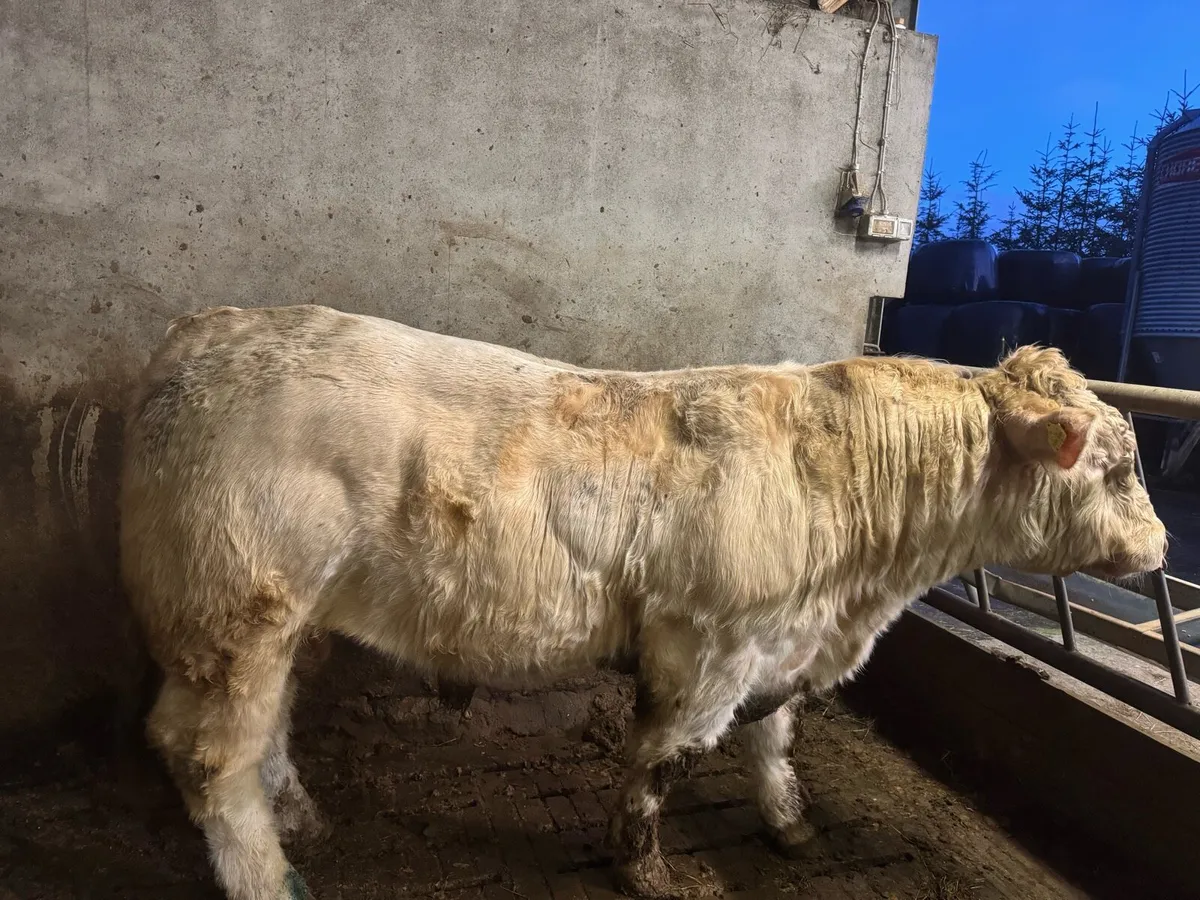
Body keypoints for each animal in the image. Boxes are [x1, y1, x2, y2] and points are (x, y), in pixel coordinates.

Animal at [119, 304, 1166, 900]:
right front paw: (645, 867)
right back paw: (269, 878)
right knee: (209, 755)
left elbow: (771, 739)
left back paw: (297, 816)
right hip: (234, 611)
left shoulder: (777, 645)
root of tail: (207, 331)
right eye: (1117, 468)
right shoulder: (708, 645)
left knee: (266, 728)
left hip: (275, 622)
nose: (1161, 547)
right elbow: (666, 762)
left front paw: (790, 824)